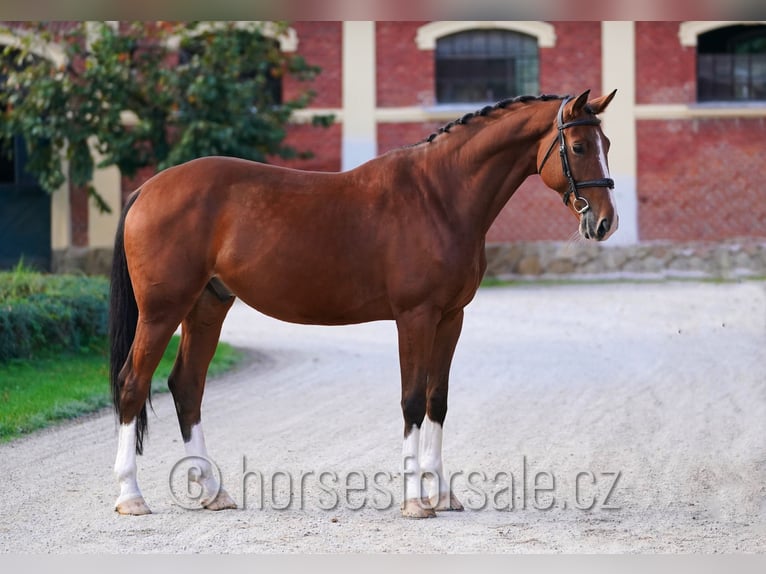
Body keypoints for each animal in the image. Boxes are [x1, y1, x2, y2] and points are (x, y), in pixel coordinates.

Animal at [109, 90, 618, 518]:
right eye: (577, 147)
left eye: (607, 142)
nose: (605, 222)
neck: (440, 196)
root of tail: (147, 189)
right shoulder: (415, 317)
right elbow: (412, 401)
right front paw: (415, 502)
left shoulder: (451, 318)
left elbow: (437, 400)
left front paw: (443, 494)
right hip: (162, 311)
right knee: (133, 383)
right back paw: (131, 496)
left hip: (207, 307)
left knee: (186, 387)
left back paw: (214, 492)